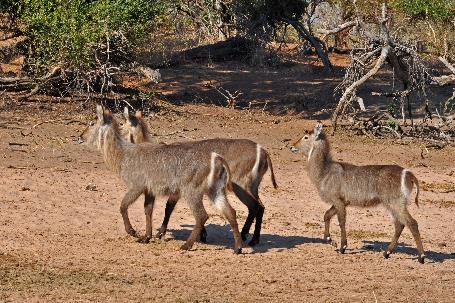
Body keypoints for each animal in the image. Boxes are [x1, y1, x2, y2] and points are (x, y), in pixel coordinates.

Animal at [79, 105, 242, 253]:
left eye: (92, 123)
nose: (79, 137)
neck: (123, 155)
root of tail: (217, 158)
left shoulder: (136, 186)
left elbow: (123, 206)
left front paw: (132, 231)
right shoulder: (149, 190)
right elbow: (148, 210)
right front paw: (146, 237)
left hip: (192, 191)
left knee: (202, 216)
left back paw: (186, 245)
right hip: (215, 191)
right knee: (231, 213)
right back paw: (237, 248)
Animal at [122, 108, 278, 247]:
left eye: (121, 124)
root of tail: (264, 151)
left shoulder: (178, 190)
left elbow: (169, 208)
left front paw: (161, 232)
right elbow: (171, 208)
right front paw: (202, 234)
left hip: (241, 186)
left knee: (255, 206)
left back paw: (248, 237)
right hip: (251, 187)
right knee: (260, 207)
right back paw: (252, 239)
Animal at [290, 122, 426, 264]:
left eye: (306, 137)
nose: (291, 146)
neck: (324, 171)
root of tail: (408, 173)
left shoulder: (338, 200)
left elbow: (341, 221)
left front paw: (342, 247)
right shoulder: (342, 202)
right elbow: (326, 215)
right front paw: (330, 240)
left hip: (395, 203)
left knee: (412, 223)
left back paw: (421, 257)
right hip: (393, 204)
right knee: (399, 225)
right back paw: (386, 253)